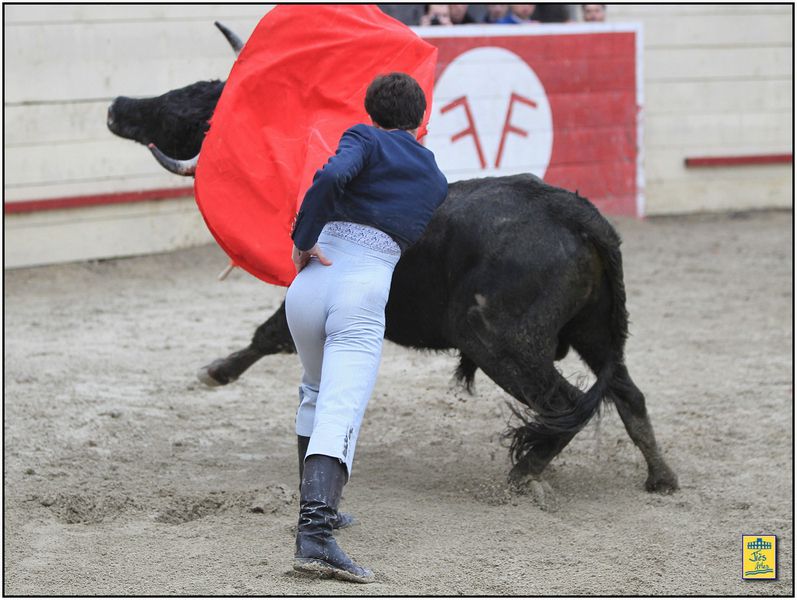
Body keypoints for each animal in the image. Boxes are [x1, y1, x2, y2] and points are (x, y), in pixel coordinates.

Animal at [105, 42, 676, 494]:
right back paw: (661, 477)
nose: (116, 106)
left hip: (498, 338)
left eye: (190, 104)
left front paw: (215, 371)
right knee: (628, 393)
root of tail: (573, 213)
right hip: (594, 332)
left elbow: (269, 334)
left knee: (566, 403)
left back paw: (525, 473)